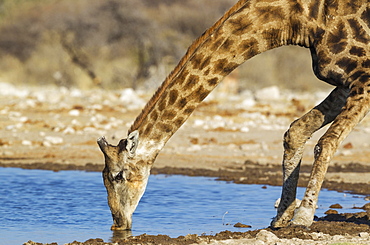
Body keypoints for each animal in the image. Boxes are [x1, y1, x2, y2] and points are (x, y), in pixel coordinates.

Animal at [97, 0, 370, 231]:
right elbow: (295, 132)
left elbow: (326, 142)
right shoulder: (346, 84)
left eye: (117, 175)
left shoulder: (363, 80)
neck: (300, 20)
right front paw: (281, 218)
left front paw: (303, 217)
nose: (118, 223)